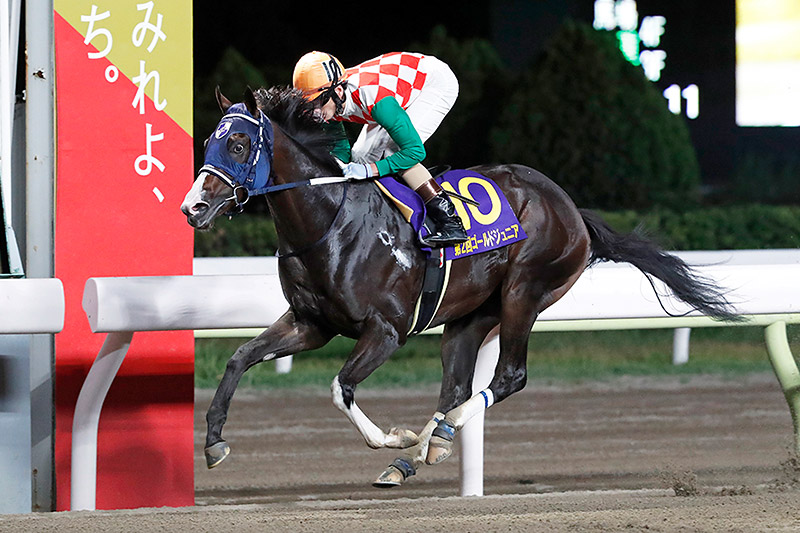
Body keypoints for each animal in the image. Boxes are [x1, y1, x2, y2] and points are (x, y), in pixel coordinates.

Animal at [181, 86, 737, 487]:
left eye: (237, 144)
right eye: (209, 143)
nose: (193, 208)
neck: (329, 219)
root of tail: (572, 209)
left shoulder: (386, 330)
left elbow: (341, 387)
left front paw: (396, 438)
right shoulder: (310, 323)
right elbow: (238, 358)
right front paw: (213, 442)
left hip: (524, 292)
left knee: (509, 376)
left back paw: (430, 439)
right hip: (470, 314)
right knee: (456, 385)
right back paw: (423, 449)